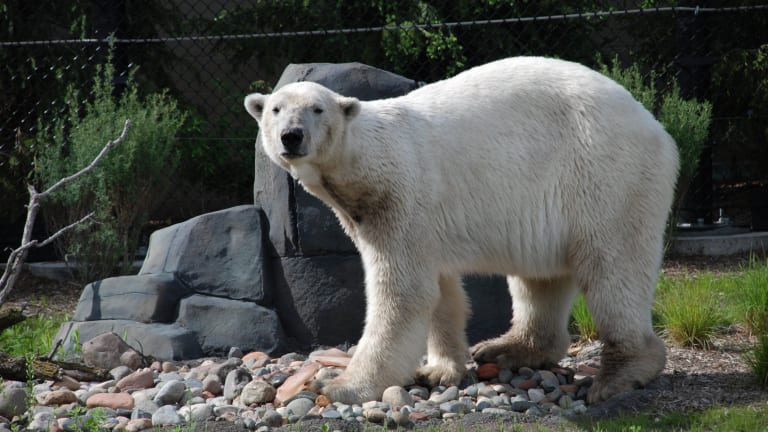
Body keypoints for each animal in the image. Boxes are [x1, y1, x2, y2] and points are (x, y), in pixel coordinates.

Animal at [244, 57, 680, 404]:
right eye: (276, 109)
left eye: (317, 109)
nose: (291, 136)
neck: (366, 164)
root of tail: (656, 127)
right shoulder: (408, 219)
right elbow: (442, 293)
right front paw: (440, 369)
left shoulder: (400, 201)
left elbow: (404, 295)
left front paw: (341, 385)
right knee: (540, 279)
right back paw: (507, 348)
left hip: (606, 173)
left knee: (614, 269)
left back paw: (619, 375)